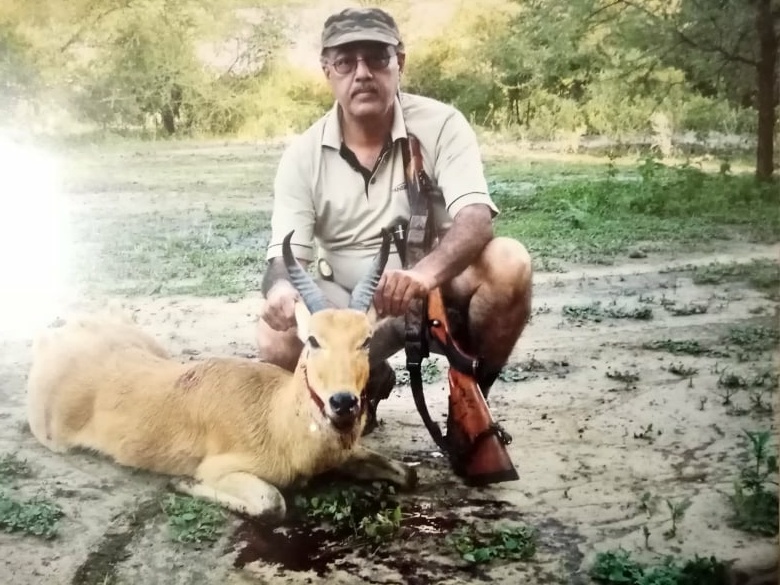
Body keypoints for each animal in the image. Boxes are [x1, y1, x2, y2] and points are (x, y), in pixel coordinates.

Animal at [25, 228, 417, 520]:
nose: (344, 403)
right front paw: (182, 483)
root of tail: (62, 333)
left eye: (366, 339)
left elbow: (407, 473)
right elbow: (272, 504)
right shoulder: (225, 470)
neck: (276, 419)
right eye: (313, 340)